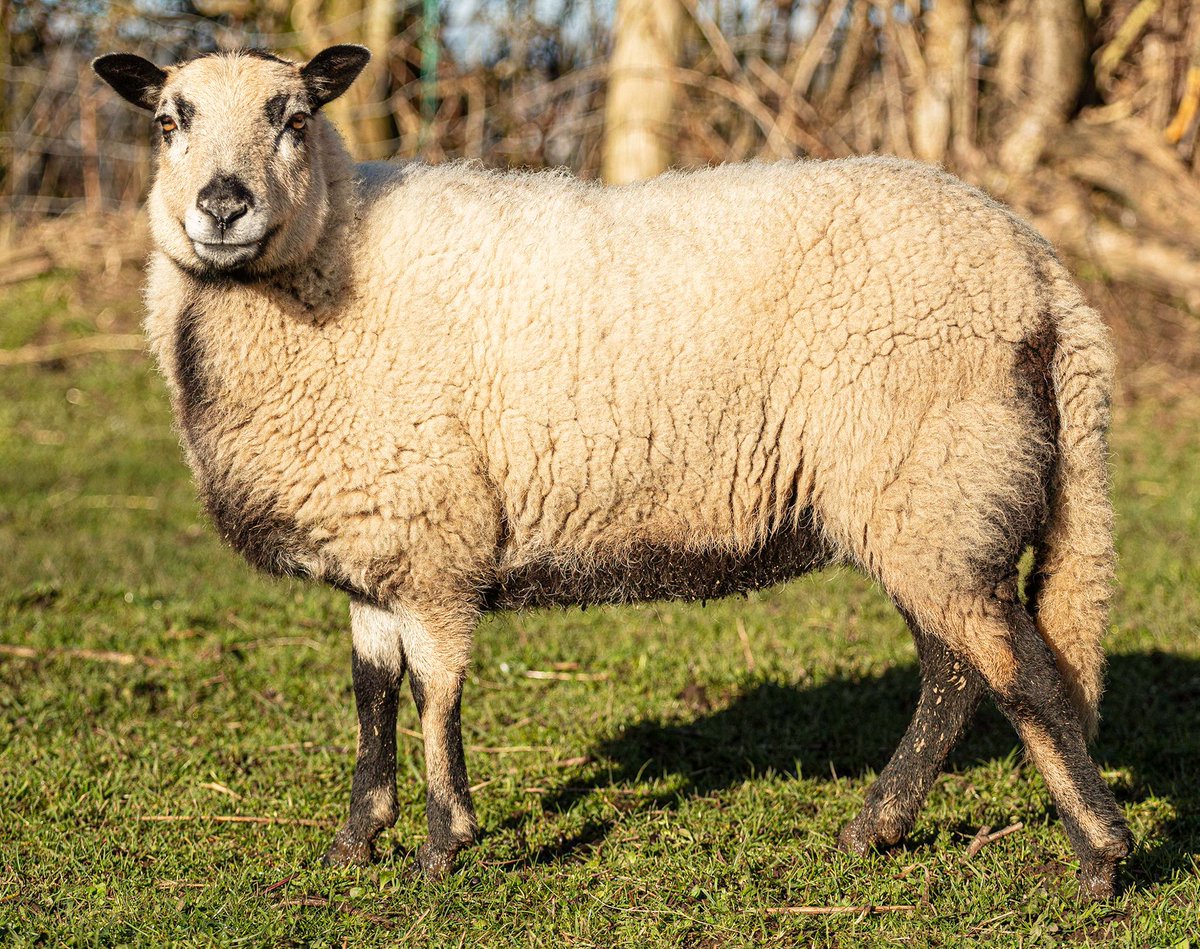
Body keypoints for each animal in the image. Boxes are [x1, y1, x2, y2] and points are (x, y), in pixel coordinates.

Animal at [96, 44, 1132, 902]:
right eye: (168, 121)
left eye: (296, 119)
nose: (222, 205)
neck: (327, 264)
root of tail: (1045, 275)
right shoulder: (377, 531)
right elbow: (372, 692)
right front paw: (357, 840)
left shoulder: (435, 540)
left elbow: (435, 692)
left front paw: (443, 845)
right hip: (927, 499)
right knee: (957, 673)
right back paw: (873, 830)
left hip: (935, 481)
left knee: (1022, 673)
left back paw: (1101, 860)